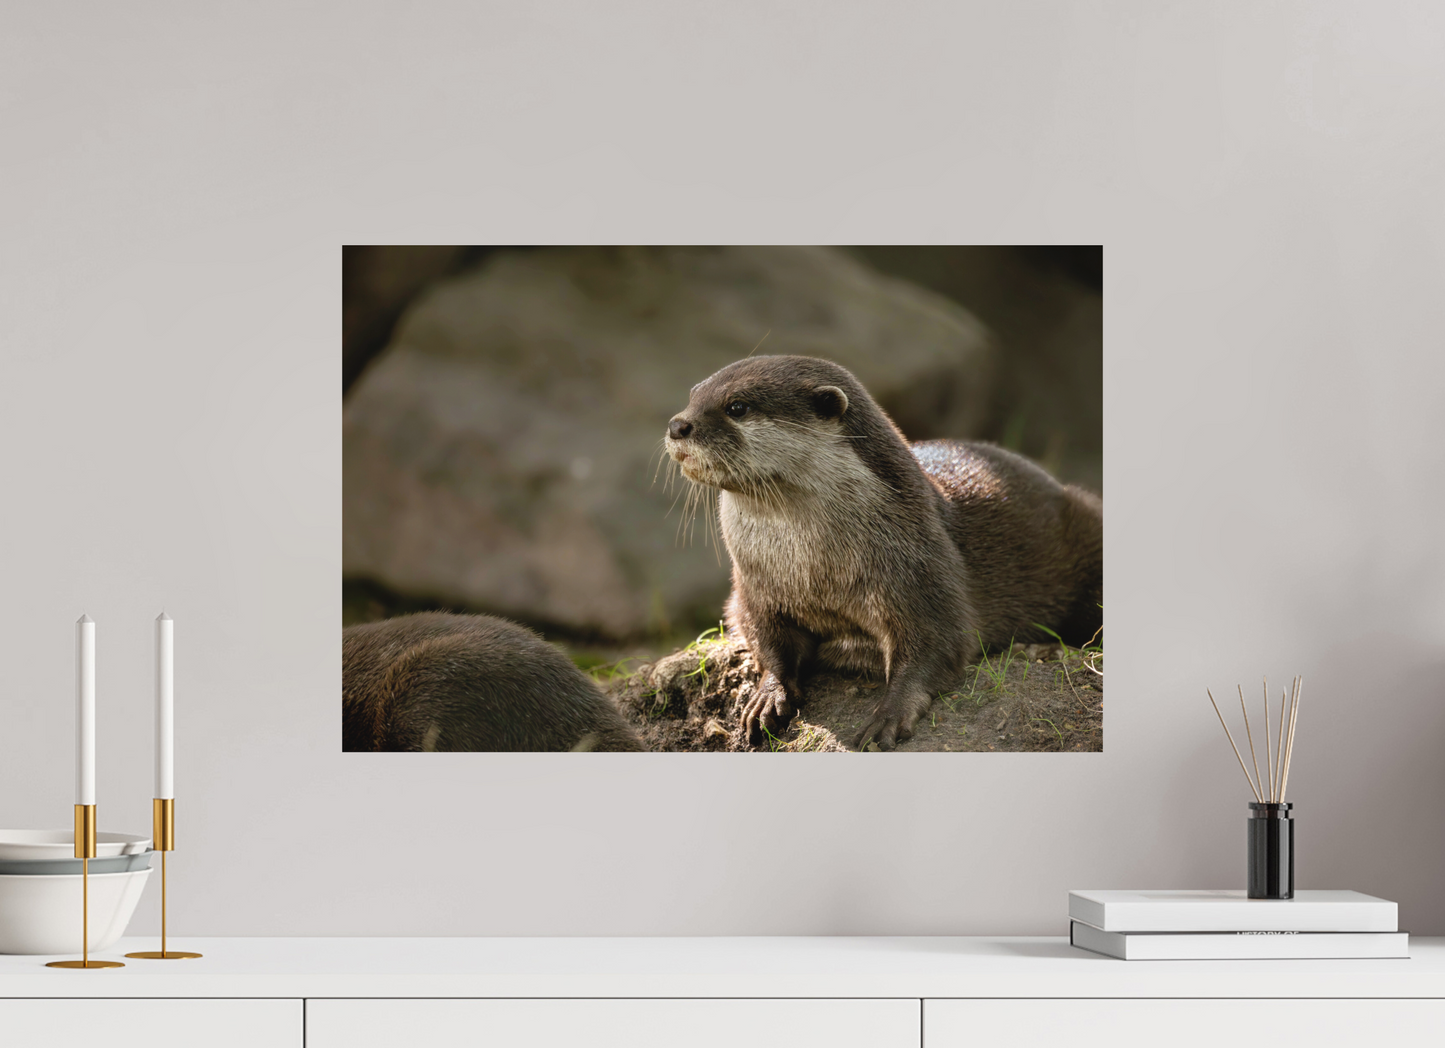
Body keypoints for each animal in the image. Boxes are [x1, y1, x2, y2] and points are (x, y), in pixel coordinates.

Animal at [665, 355, 1102, 751]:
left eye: (737, 406)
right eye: (692, 395)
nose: (677, 424)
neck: (813, 571)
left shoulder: (921, 569)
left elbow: (940, 642)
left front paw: (889, 714)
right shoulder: (752, 588)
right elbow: (766, 641)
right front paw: (768, 695)